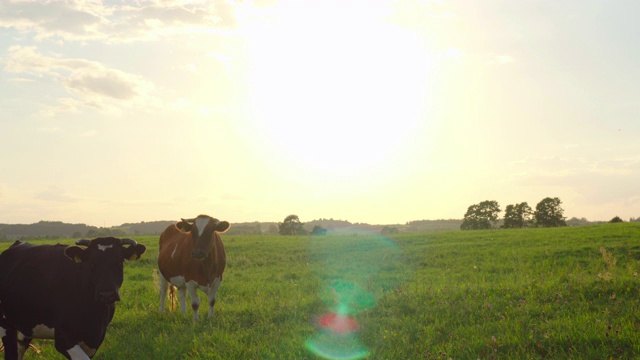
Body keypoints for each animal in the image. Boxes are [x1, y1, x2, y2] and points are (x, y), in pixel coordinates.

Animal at [0, 238, 146, 358]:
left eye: (119, 262)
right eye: (91, 263)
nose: (107, 294)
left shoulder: (95, 338)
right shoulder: (63, 337)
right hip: (6, 324)